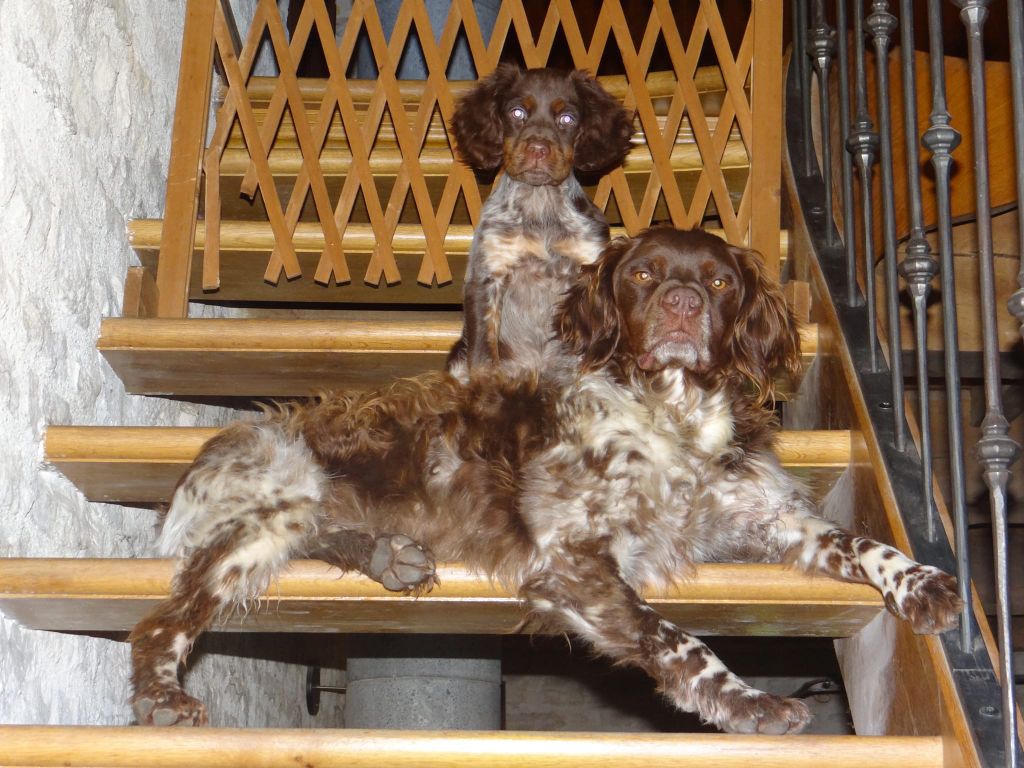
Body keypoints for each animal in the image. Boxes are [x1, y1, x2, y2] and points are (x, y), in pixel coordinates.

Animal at [128, 227, 958, 733]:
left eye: (721, 282)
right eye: (645, 273)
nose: (681, 304)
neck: (675, 422)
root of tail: (234, 434)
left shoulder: (772, 520)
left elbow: (862, 542)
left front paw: (923, 583)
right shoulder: (572, 558)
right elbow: (677, 640)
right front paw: (751, 704)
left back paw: (390, 556)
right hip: (274, 506)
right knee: (159, 625)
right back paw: (164, 700)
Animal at [446, 64, 630, 376]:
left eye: (567, 118)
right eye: (517, 112)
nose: (538, 149)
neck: (540, 204)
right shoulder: (487, 275)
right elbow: (483, 360)